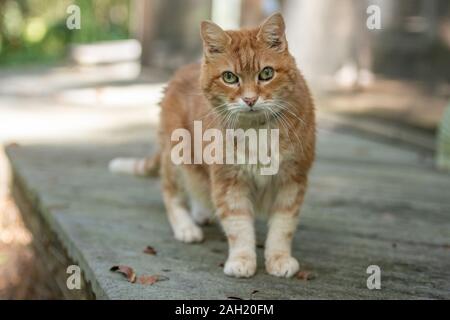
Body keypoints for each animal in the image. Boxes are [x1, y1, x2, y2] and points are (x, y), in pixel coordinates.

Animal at [110, 13, 314, 278]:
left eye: (267, 73)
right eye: (229, 77)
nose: (250, 99)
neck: (256, 129)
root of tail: (178, 73)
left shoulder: (292, 180)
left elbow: (283, 225)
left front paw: (279, 258)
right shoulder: (228, 181)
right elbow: (238, 226)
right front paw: (242, 260)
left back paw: (201, 212)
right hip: (178, 157)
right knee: (172, 193)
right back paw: (186, 228)